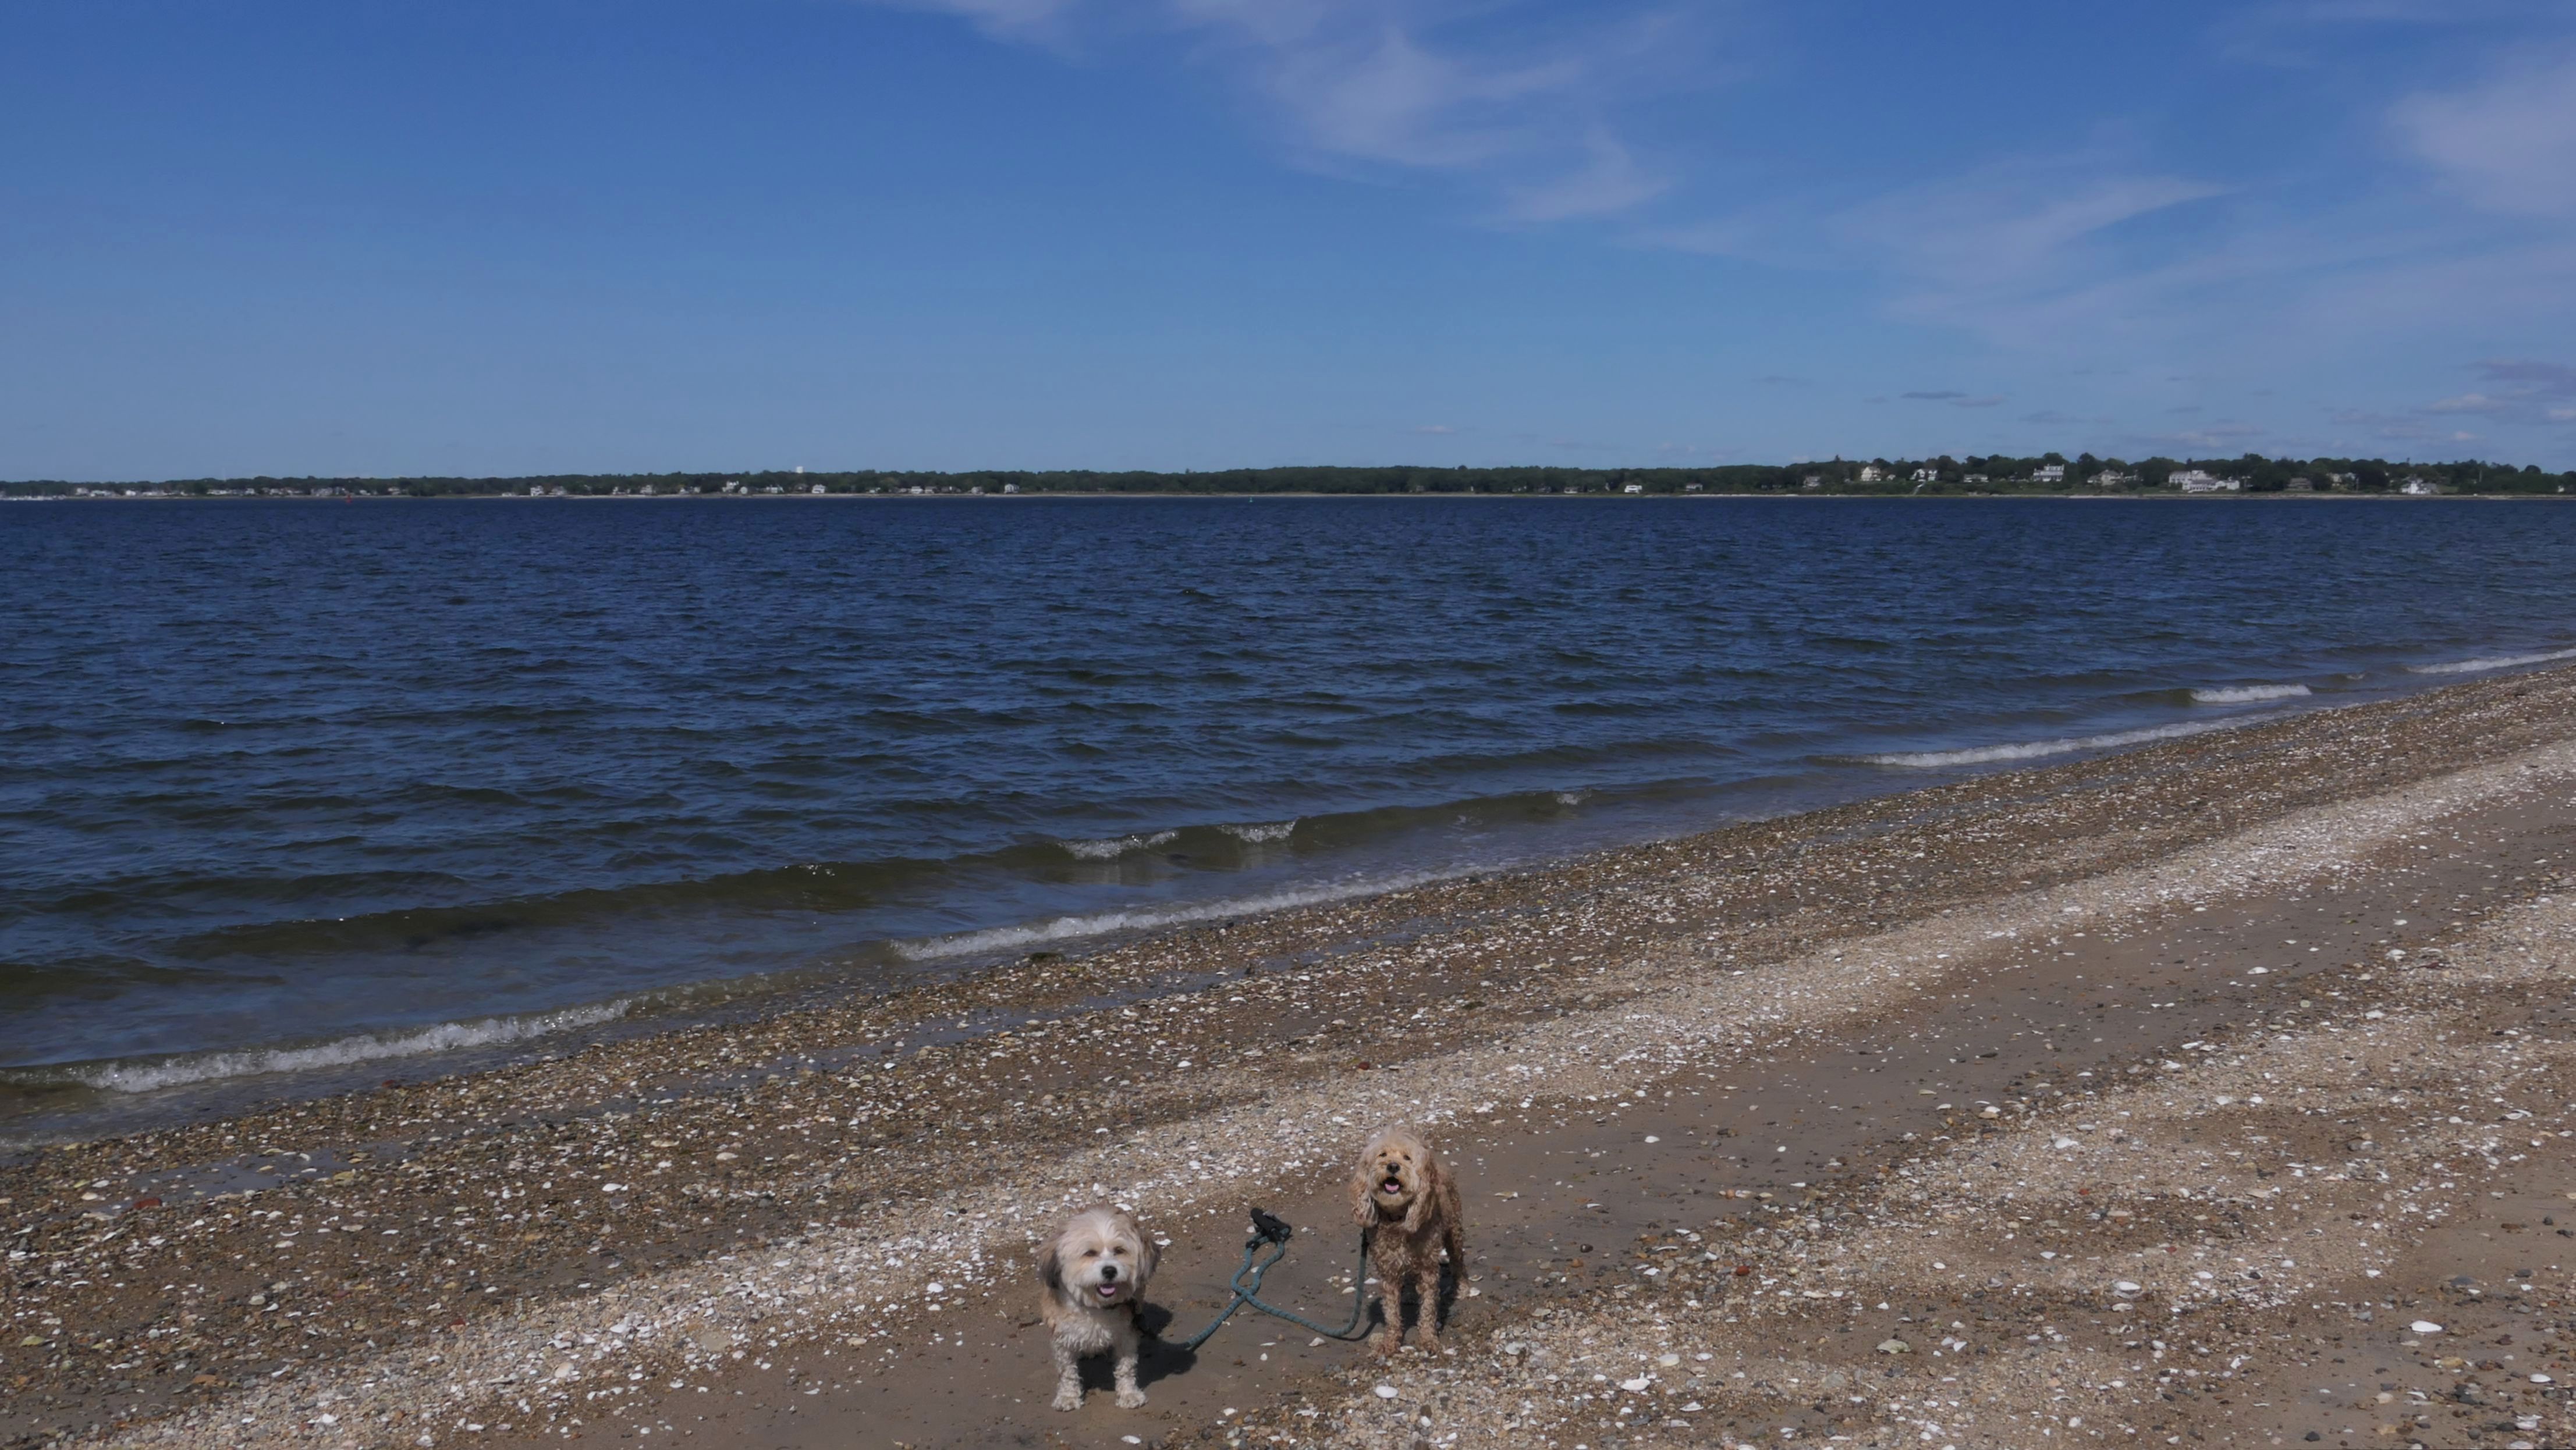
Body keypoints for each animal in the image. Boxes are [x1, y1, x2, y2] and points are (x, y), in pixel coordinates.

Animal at [1035, 1206, 1159, 1410]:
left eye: (1119, 1250)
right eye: (1090, 1253)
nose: (1110, 1270)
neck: (1096, 1306)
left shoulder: (1126, 1335)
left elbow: (1126, 1368)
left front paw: (1129, 1394)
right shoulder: (1062, 1339)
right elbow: (1067, 1372)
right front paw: (1068, 1397)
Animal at [1350, 1124, 1466, 1354]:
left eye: (1407, 1157)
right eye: (1383, 1155)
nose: (1393, 1166)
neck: (1398, 1217)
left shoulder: (1428, 1269)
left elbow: (1429, 1307)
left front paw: (1428, 1339)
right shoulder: (1388, 1272)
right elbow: (1391, 1312)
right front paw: (1390, 1341)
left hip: (1454, 1230)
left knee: (1458, 1259)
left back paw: (1464, 1287)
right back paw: (1410, 1295)